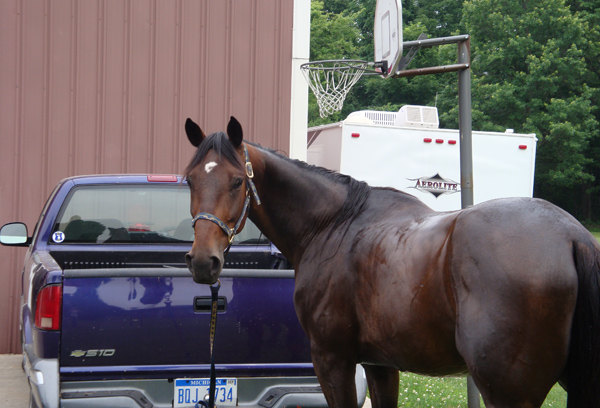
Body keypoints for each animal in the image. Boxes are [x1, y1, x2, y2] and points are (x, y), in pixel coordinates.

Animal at [183, 116, 600, 406]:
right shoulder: (380, 364)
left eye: (238, 181)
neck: (333, 225)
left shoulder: (333, 360)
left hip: (507, 393)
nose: (203, 261)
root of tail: (573, 234)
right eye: (190, 180)